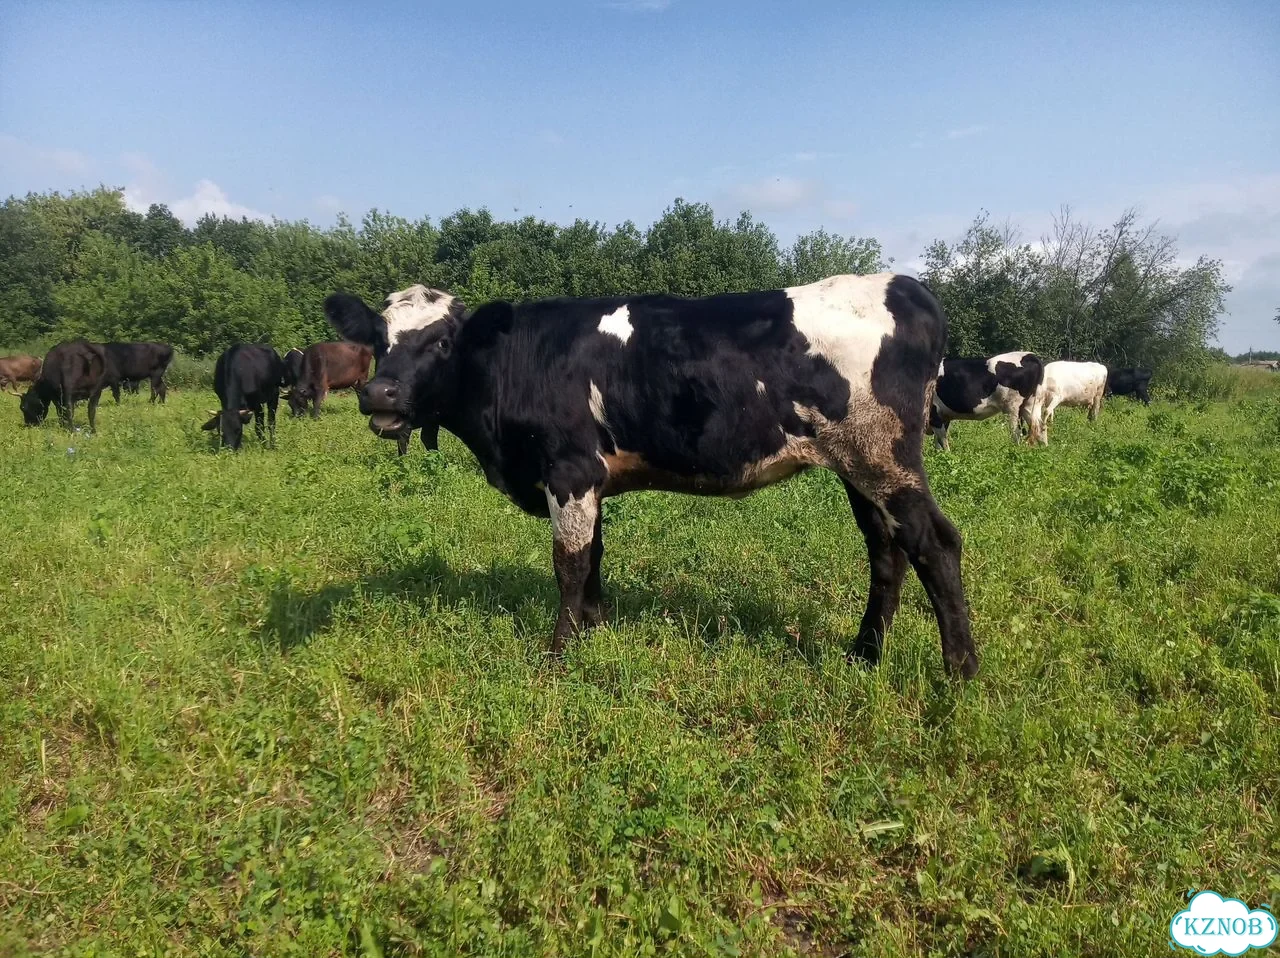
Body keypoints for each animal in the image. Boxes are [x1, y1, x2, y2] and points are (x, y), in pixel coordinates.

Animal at [325, 276, 978, 679]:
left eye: (442, 342)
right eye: (379, 339)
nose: (379, 393)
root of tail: (902, 284)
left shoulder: (569, 469)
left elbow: (567, 564)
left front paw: (559, 655)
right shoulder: (592, 480)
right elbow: (592, 555)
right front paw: (594, 633)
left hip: (881, 455)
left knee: (934, 543)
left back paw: (959, 673)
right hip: (857, 462)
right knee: (886, 550)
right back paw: (863, 656)